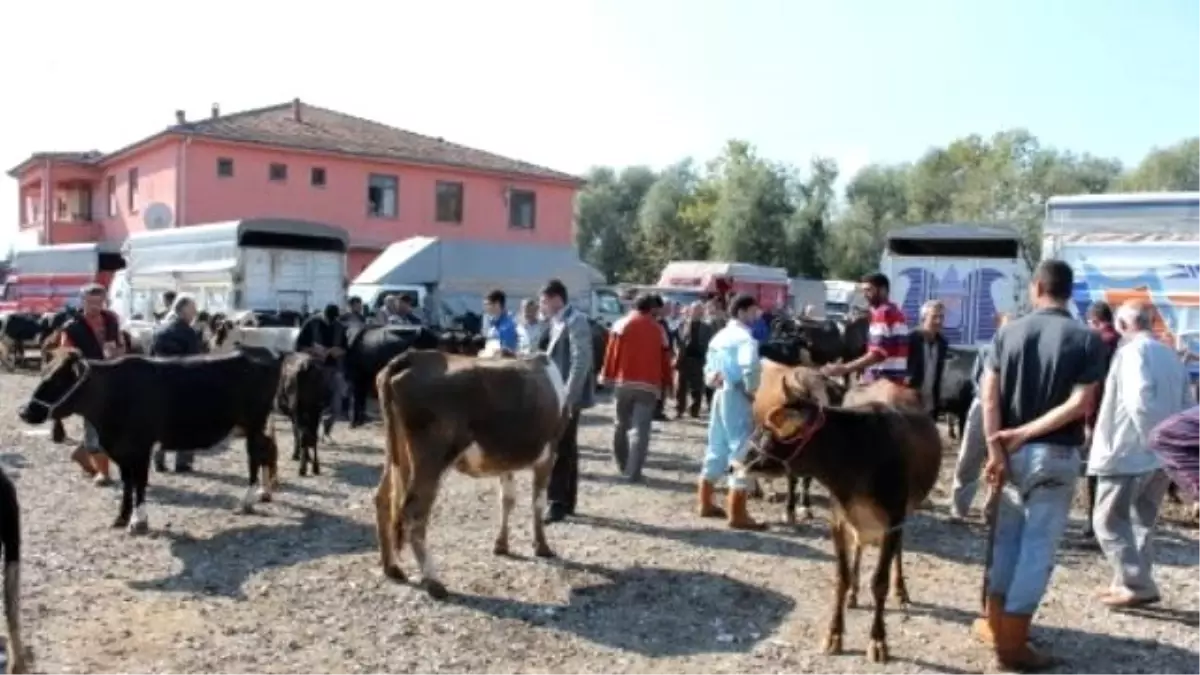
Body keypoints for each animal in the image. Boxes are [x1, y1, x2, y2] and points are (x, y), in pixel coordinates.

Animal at [17, 348, 280, 533]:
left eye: (57, 380)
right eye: (42, 374)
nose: (24, 411)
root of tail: (265, 352)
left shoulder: (141, 446)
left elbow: (140, 482)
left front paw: (138, 521)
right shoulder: (120, 449)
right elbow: (127, 482)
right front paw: (121, 517)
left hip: (255, 420)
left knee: (255, 454)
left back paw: (247, 500)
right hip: (249, 424)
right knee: (267, 449)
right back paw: (263, 493)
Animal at [369, 348, 566, 595]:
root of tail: (412, 357)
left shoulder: (504, 460)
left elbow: (507, 499)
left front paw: (501, 545)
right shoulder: (549, 453)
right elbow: (537, 502)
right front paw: (542, 546)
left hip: (397, 454)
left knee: (383, 498)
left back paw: (392, 568)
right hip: (432, 458)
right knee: (414, 512)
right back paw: (433, 581)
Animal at [734, 379, 940, 662]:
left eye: (767, 428)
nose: (734, 464)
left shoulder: (893, 520)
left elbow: (879, 582)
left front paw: (878, 640)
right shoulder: (838, 520)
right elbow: (841, 578)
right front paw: (834, 634)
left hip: (905, 510)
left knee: (897, 550)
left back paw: (901, 591)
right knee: (859, 548)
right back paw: (854, 592)